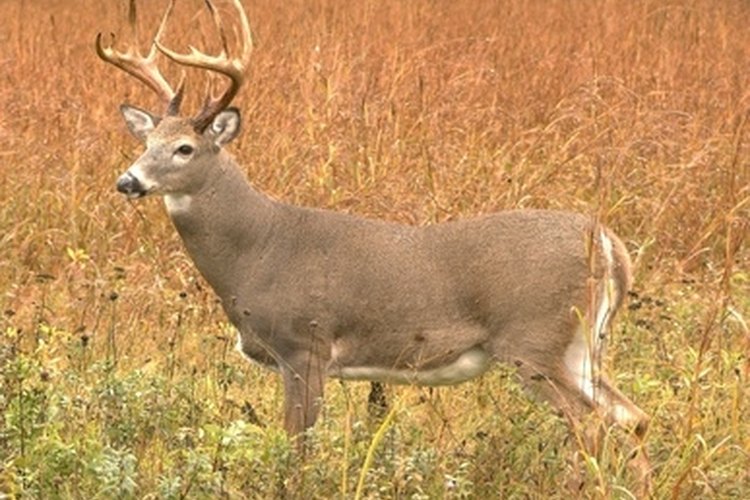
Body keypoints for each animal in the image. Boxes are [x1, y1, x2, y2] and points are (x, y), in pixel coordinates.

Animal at [98, 0, 652, 492]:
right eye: (146, 144)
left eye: (184, 148)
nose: (128, 181)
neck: (257, 249)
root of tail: (608, 243)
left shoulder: (306, 345)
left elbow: (297, 447)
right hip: (580, 345)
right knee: (632, 416)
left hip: (532, 338)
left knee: (591, 423)